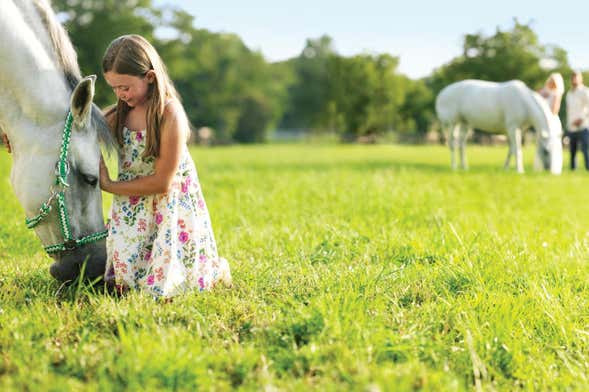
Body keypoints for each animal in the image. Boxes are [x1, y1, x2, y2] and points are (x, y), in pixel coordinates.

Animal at [434, 79, 564, 175]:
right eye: (546, 151)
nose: (548, 170)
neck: (524, 103)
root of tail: (441, 94)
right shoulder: (512, 127)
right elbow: (517, 150)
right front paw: (520, 171)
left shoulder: (516, 130)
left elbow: (511, 150)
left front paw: (505, 168)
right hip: (452, 123)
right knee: (452, 143)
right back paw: (454, 166)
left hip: (465, 123)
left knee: (461, 144)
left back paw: (464, 167)